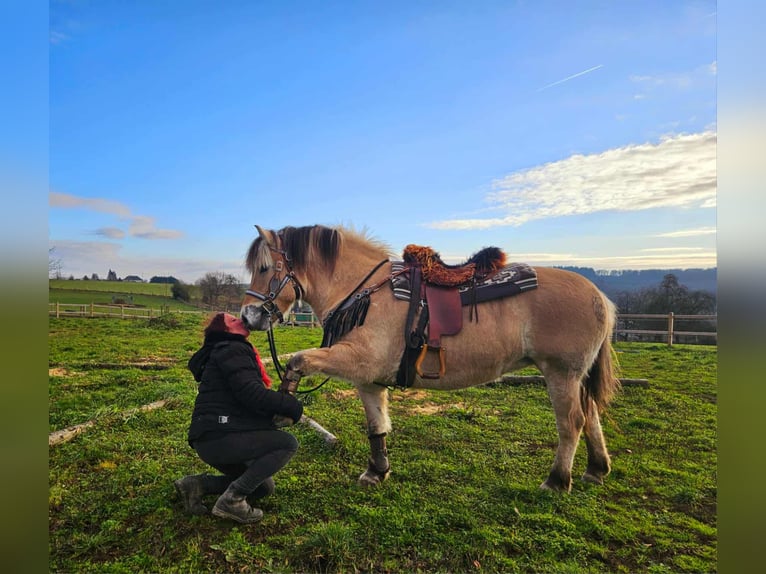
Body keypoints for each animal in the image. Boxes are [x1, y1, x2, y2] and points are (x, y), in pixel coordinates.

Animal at [240, 224, 620, 492]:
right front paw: (377, 471)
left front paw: (283, 404)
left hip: (561, 374)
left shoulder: (357, 360)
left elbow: (297, 361)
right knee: (591, 414)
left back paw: (556, 480)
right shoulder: (369, 379)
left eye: (265, 267)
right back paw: (596, 469)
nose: (248, 315)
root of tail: (600, 296)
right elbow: (376, 426)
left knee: (572, 422)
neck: (365, 292)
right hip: (576, 377)